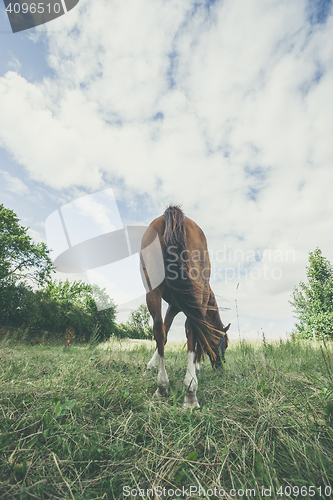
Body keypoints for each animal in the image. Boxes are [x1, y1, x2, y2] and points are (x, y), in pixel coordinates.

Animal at [139, 205, 230, 408]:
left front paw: (150, 367)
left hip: (152, 290)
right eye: (225, 345)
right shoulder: (187, 305)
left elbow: (164, 334)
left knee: (158, 328)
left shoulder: (173, 306)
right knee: (192, 329)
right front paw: (196, 367)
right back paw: (190, 392)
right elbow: (197, 335)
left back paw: (162, 386)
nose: (221, 368)